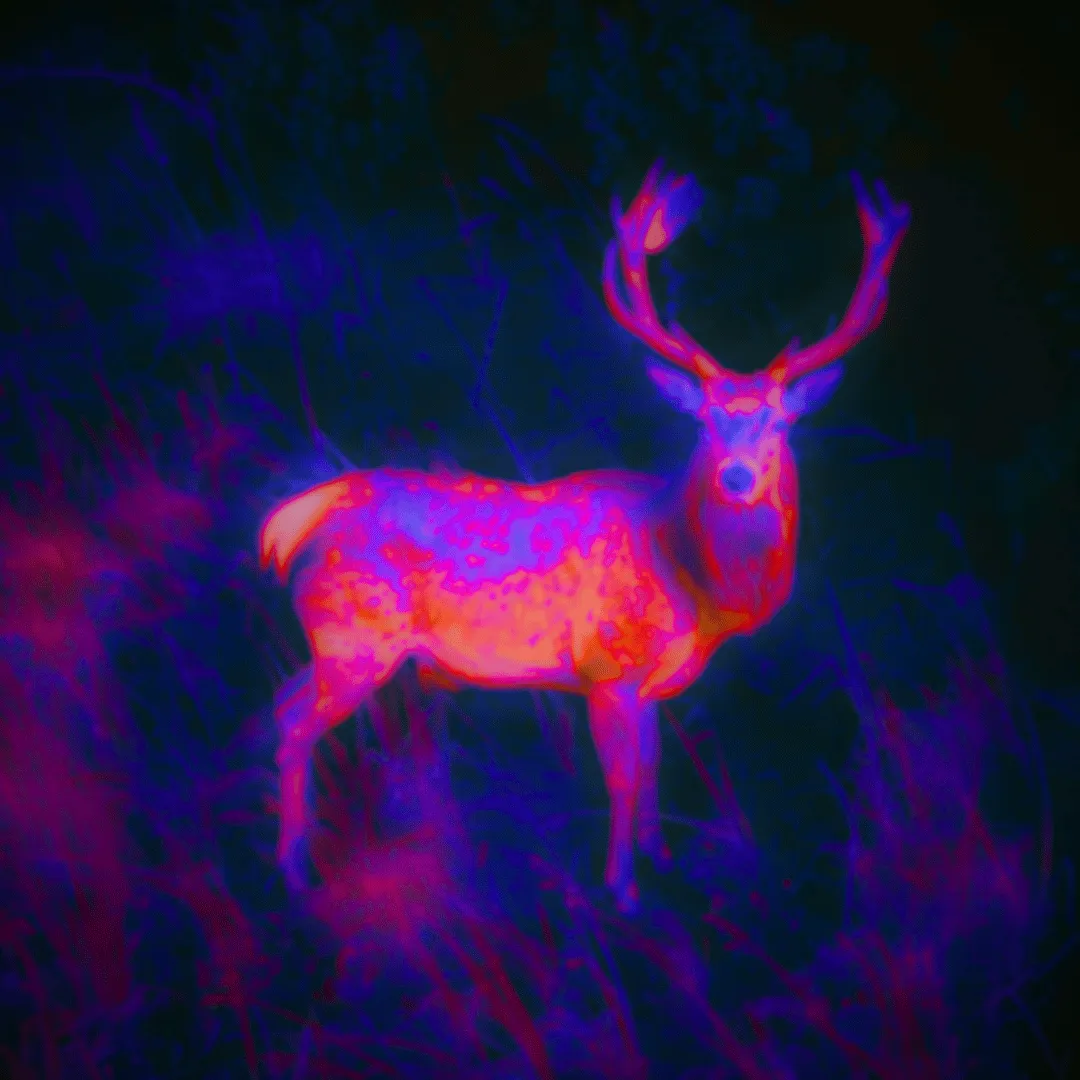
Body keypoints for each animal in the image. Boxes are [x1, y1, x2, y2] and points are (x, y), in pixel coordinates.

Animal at [259, 163, 910, 911]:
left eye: (780, 422)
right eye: (704, 420)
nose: (738, 476)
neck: (685, 572)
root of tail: (303, 514)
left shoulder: (652, 683)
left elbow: (654, 766)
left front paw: (662, 860)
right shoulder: (606, 666)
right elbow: (622, 778)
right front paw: (622, 889)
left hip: (339, 640)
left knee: (281, 702)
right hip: (354, 635)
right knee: (292, 721)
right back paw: (294, 871)